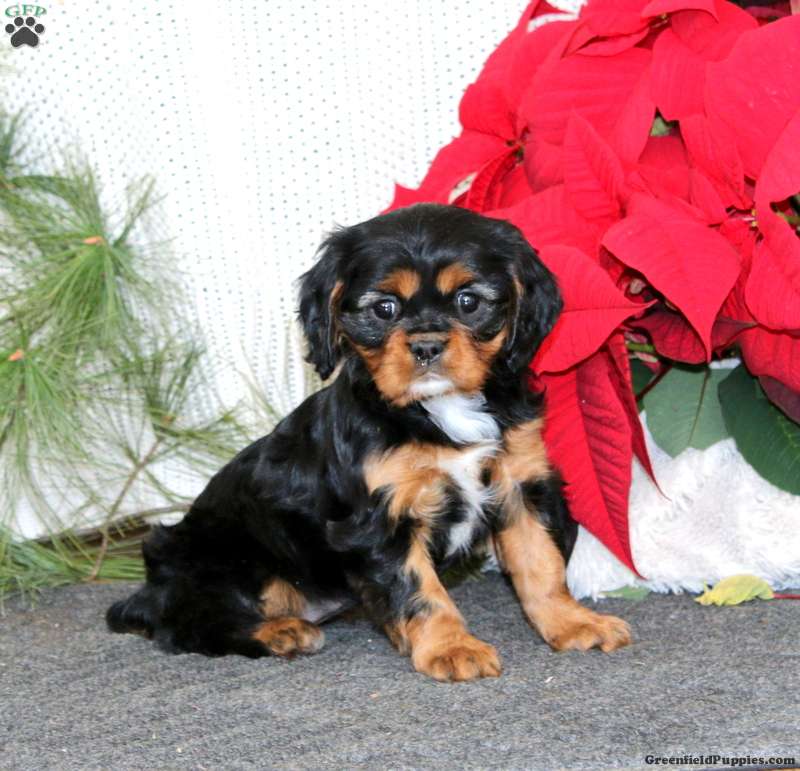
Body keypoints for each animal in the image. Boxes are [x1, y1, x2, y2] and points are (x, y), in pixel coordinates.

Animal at [107, 203, 631, 681]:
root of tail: (150, 590)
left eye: (468, 302)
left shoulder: (519, 482)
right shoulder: (380, 516)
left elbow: (540, 563)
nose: (426, 345)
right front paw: (451, 648)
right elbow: (420, 590)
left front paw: (572, 623)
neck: (437, 410)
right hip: (217, 556)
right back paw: (279, 632)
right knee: (186, 625)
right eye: (384, 308)